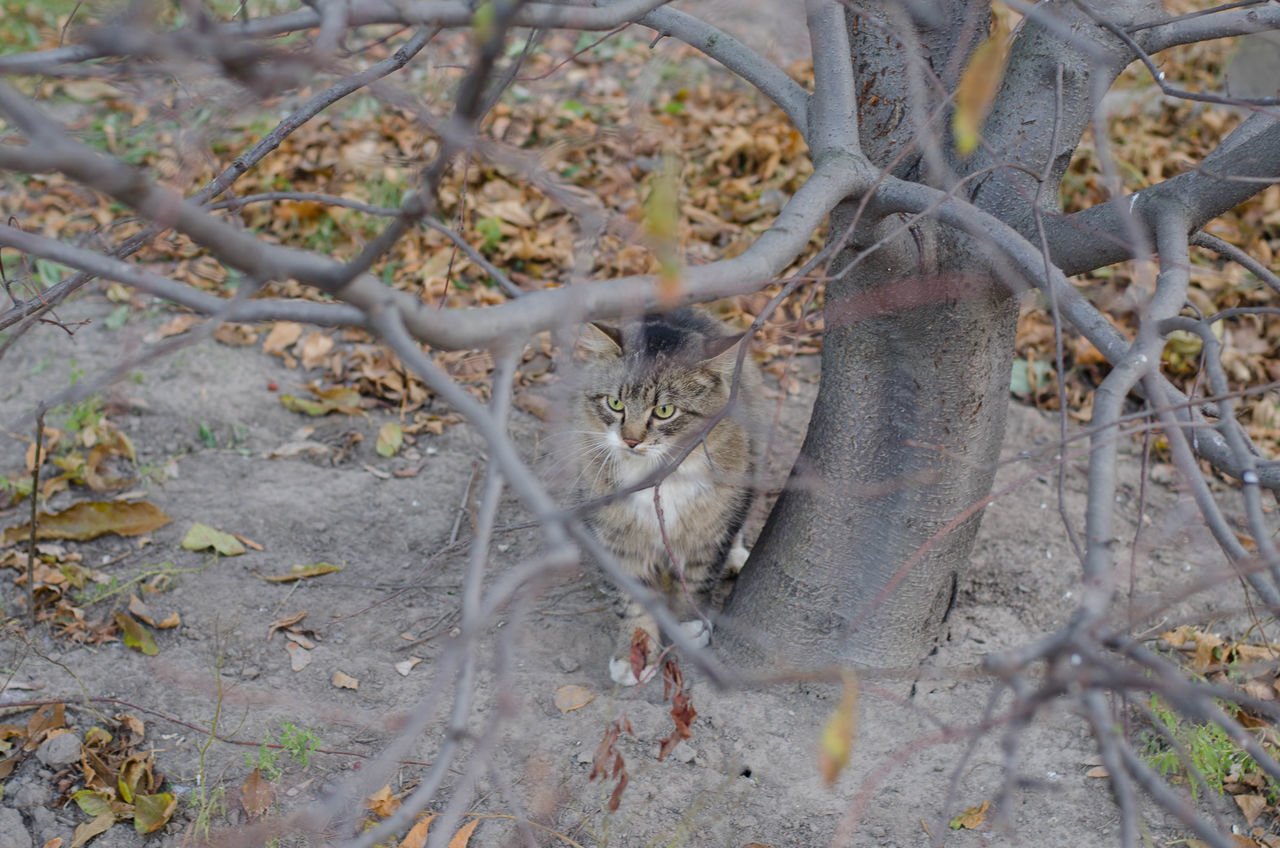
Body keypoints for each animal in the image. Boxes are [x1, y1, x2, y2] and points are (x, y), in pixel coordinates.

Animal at [568, 308, 757, 686]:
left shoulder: (710, 529)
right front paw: (634, 654)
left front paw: (690, 624)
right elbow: (630, 599)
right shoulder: (616, 536)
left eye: (665, 411)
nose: (630, 440)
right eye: (615, 403)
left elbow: (697, 578)